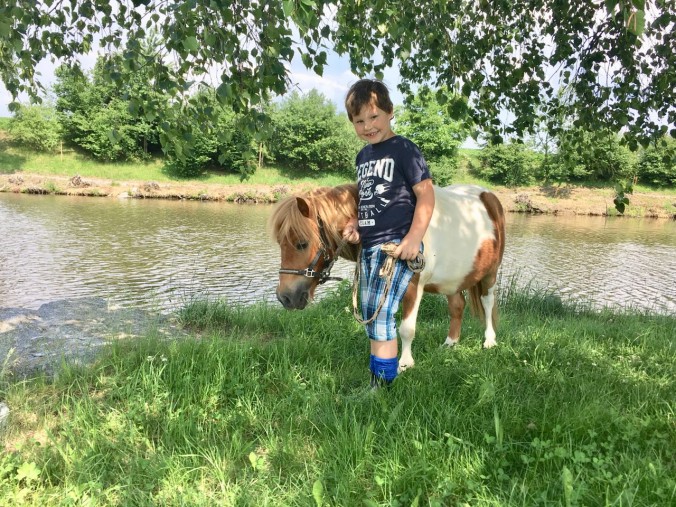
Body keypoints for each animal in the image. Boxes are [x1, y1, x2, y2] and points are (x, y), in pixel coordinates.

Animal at [270, 185, 508, 372]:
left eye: (302, 243)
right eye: (280, 243)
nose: (285, 297)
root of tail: (489, 197)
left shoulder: (413, 287)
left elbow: (406, 329)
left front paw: (405, 364)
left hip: (490, 273)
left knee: (488, 302)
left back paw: (489, 340)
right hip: (453, 279)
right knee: (457, 305)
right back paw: (450, 343)